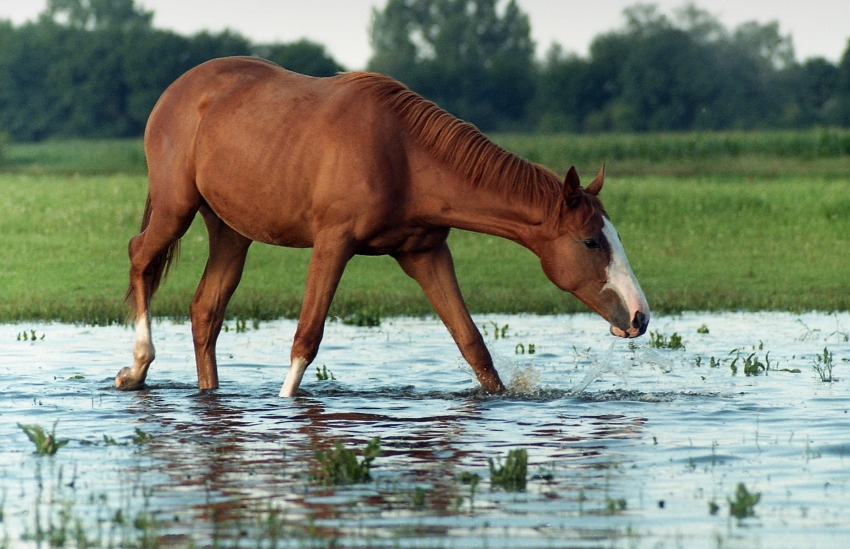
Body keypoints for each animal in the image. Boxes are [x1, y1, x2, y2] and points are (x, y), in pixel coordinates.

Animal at [116, 55, 648, 396]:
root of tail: (177, 92)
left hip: (231, 231)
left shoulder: (425, 253)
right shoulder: (333, 244)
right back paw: (137, 368)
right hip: (176, 208)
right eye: (590, 242)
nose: (640, 317)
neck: (404, 156)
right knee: (140, 255)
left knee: (206, 310)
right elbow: (306, 338)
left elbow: (473, 345)